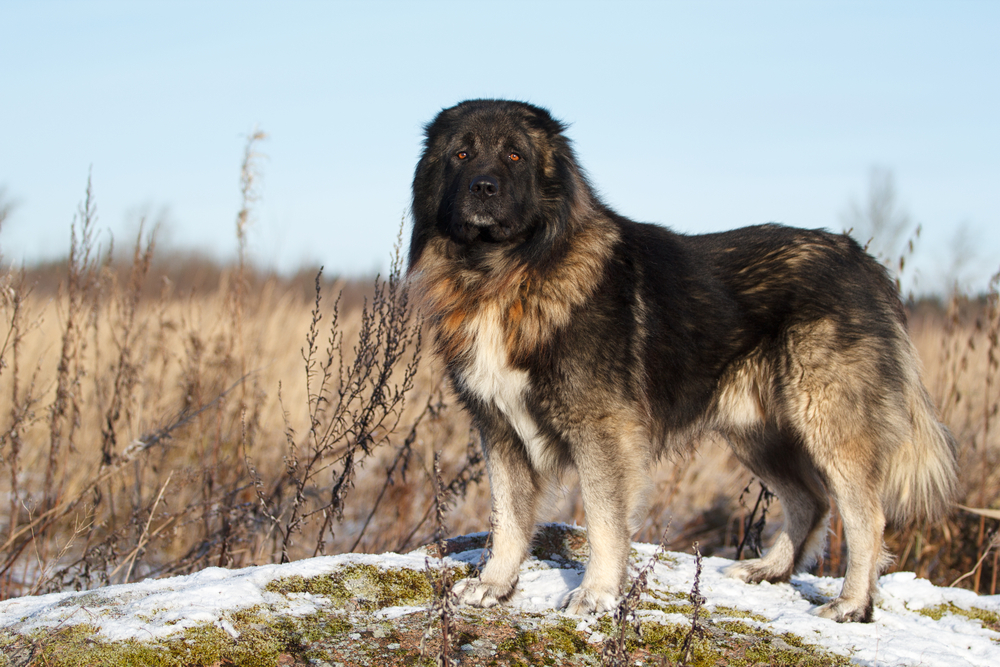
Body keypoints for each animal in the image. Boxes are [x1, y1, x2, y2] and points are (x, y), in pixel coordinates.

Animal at [408, 100, 960, 628]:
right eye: (461, 153)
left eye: (515, 156)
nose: (483, 187)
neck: (504, 272)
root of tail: (862, 259)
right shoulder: (500, 430)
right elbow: (507, 518)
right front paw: (494, 585)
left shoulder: (602, 432)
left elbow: (604, 520)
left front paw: (596, 594)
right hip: (759, 433)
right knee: (811, 500)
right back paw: (770, 570)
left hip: (827, 422)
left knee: (865, 515)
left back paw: (852, 605)